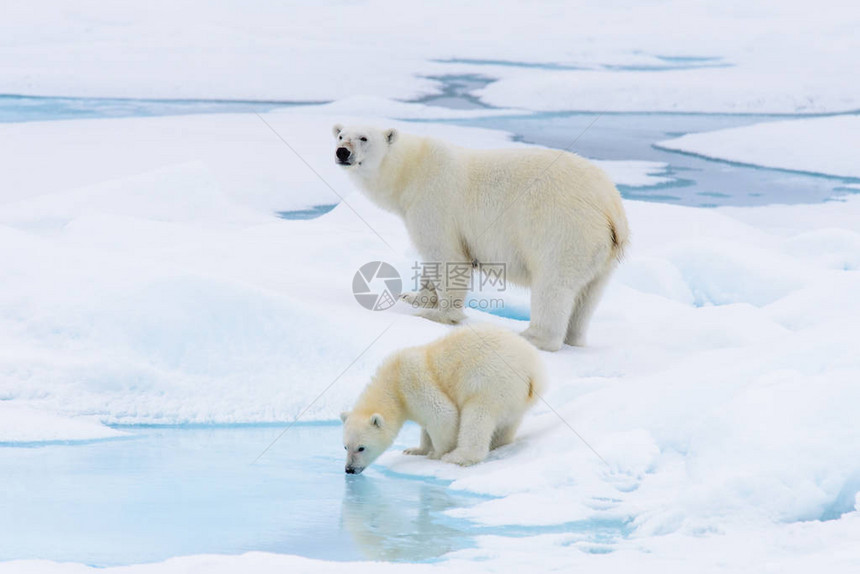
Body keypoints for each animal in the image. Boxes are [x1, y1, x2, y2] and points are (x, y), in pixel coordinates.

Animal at [332, 124, 628, 354]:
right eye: (340, 135)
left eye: (363, 138)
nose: (342, 152)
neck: (413, 169)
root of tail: (610, 207)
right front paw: (415, 296)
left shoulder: (435, 202)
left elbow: (447, 257)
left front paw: (437, 314)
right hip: (601, 253)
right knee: (588, 296)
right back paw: (574, 338)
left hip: (564, 230)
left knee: (554, 285)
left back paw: (530, 336)